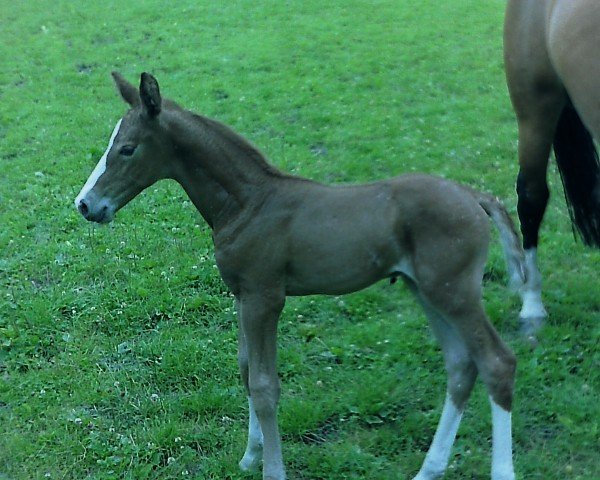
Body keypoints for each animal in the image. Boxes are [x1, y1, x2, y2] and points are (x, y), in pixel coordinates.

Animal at [76, 73, 524, 478]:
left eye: (127, 149)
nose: (85, 204)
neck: (248, 203)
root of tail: (474, 196)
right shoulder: (242, 296)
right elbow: (245, 369)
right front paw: (250, 456)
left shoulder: (265, 297)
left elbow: (264, 385)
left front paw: (272, 470)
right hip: (427, 291)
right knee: (461, 366)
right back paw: (428, 470)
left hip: (454, 292)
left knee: (496, 362)